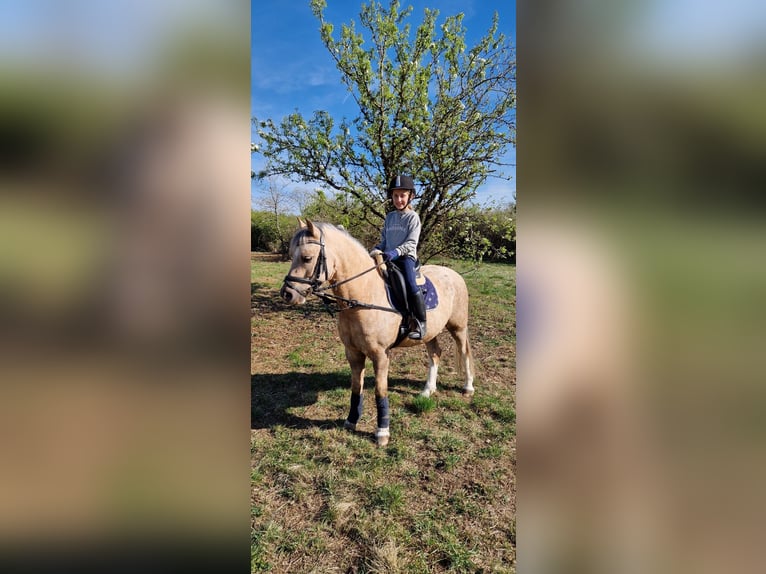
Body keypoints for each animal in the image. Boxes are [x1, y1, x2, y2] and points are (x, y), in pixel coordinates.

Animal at [280, 219, 474, 447]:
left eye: (307, 258)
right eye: (291, 254)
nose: (287, 294)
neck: (363, 297)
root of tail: (454, 274)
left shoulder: (381, 355)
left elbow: (380, 391)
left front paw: (382, 432)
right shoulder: (353, 353)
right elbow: (356, 387)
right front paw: (351, 421)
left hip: (458, 327)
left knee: (464, 352)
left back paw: (468, 387)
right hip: (430, 333)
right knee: (435, 354)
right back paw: (427, 390)